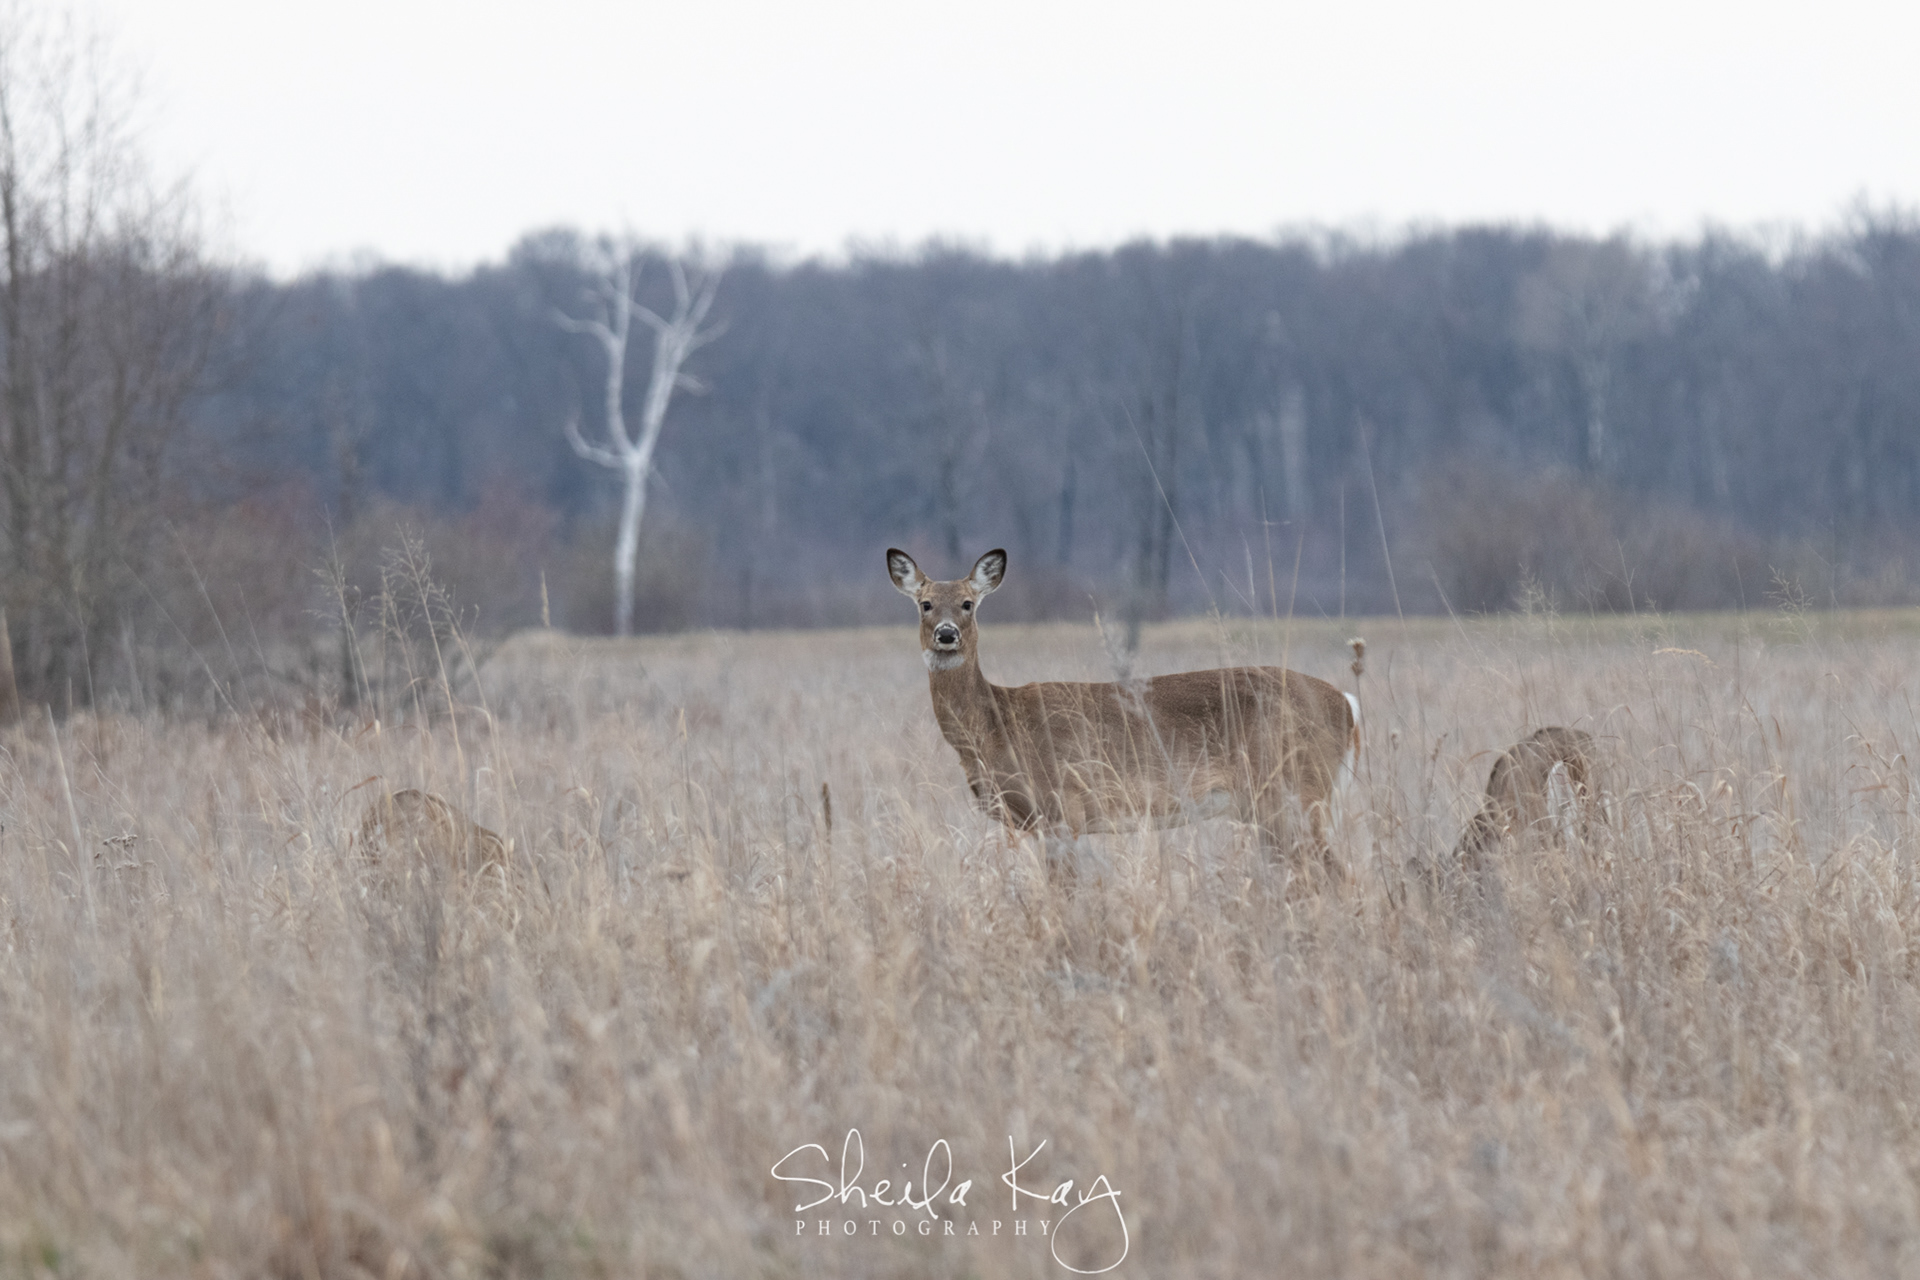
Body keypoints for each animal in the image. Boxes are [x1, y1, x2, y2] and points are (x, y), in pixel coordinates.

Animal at [887, 547, 1360, 878]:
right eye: (925, 603)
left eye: (968, 603)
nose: (947, 634)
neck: (998, 728)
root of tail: (1346, 704)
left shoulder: (1064, 809)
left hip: (1294, 791)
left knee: (1339, 876)